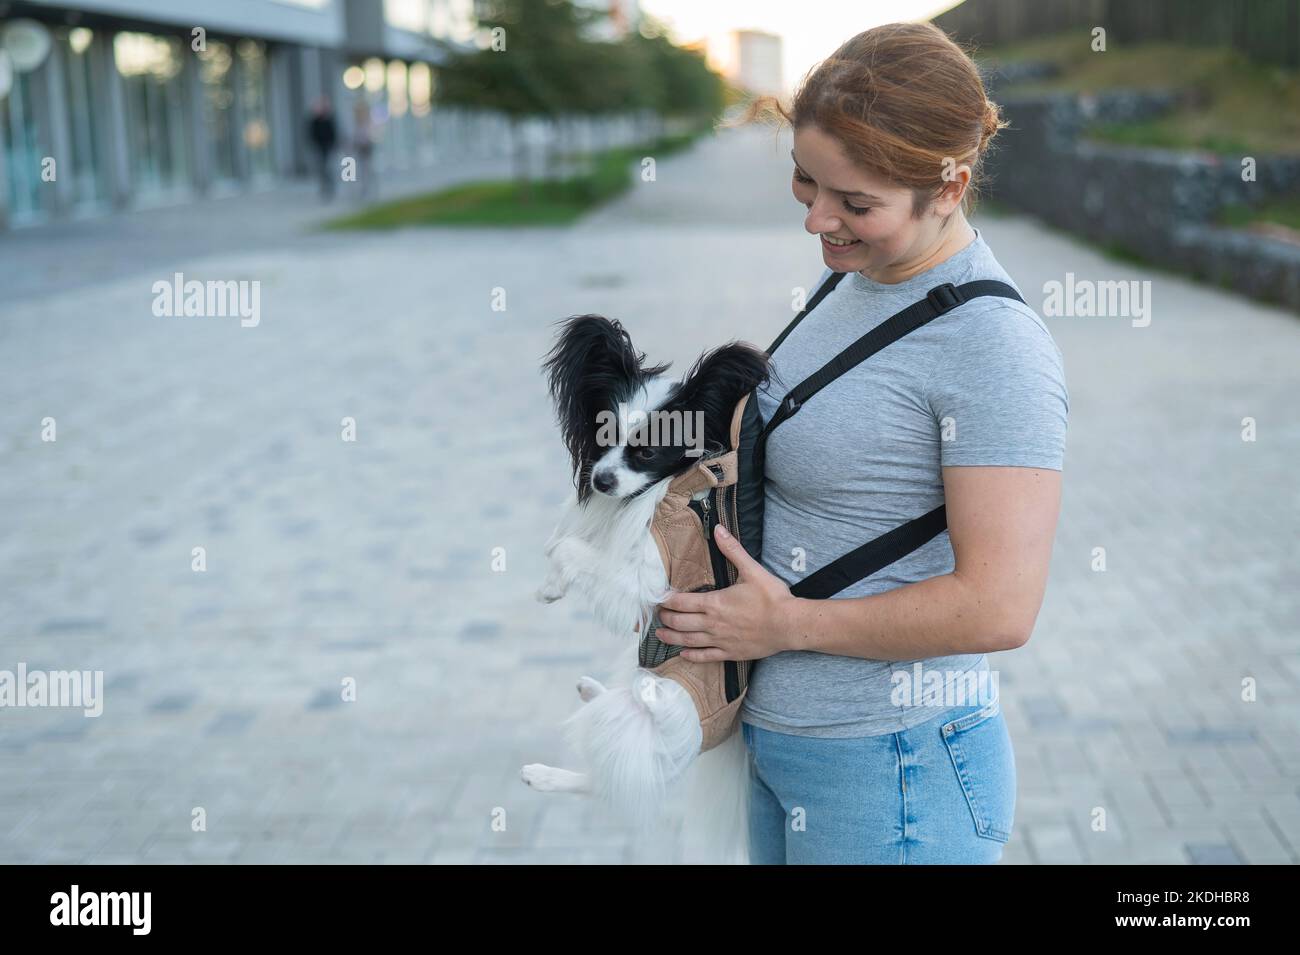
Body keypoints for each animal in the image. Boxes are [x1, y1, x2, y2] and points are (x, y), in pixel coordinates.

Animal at [520, 315, 764, 867]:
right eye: (601, 433)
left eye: (649, 451)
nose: (603, 480)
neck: (667, 496)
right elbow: (560, 541)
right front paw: (548, 584)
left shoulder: (642, 581)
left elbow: (566, 549)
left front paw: (551, 587)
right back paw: (589, 693)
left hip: (641, 720)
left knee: (613, 779)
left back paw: (543, 773)